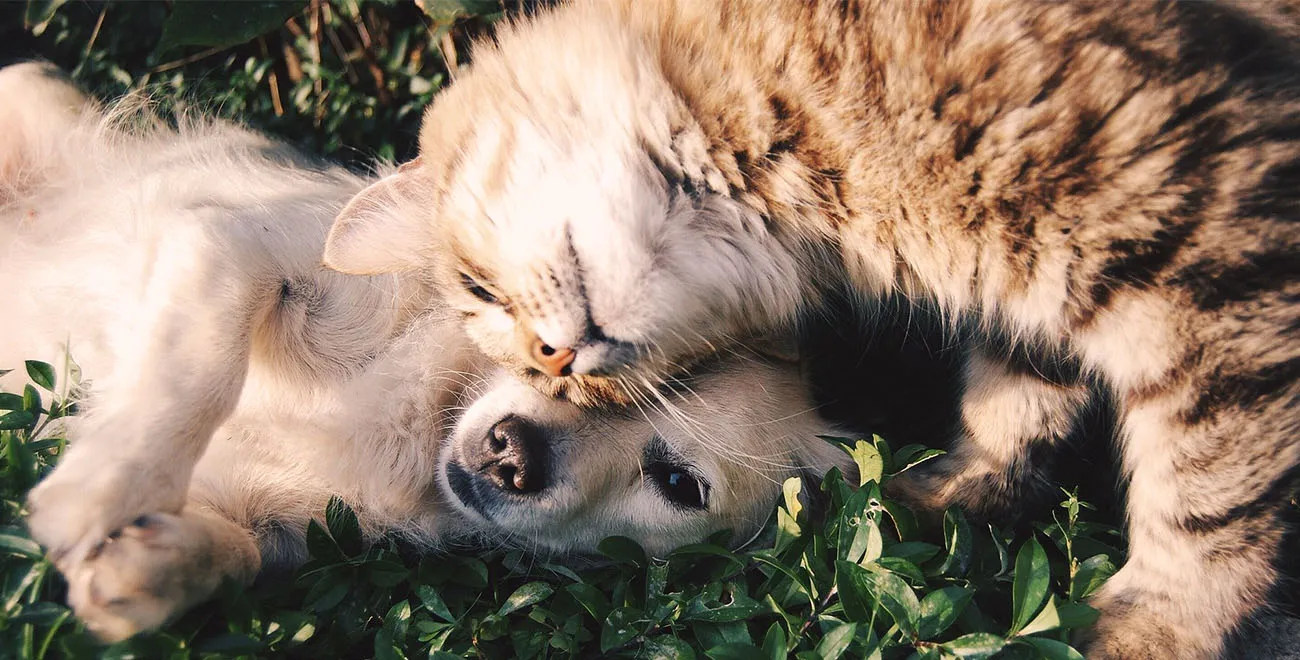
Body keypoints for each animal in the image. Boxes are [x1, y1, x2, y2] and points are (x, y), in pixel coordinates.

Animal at [5, 64, 857, 641]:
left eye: (679, 484)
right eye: (555, 350)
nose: (513, 453)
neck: (421, 424)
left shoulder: (281, 526)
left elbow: (237, 555)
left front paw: (147, 568)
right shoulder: (230, 246)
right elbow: (197, 372)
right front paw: (100, 489)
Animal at [322, 2, 1300, 657]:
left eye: (477, 287)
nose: (557, 361)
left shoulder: (1211, 249)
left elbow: (1207, 493)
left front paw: (1162, 625)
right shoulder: (1038, 287)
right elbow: (1014, 406)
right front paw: (946, 496)